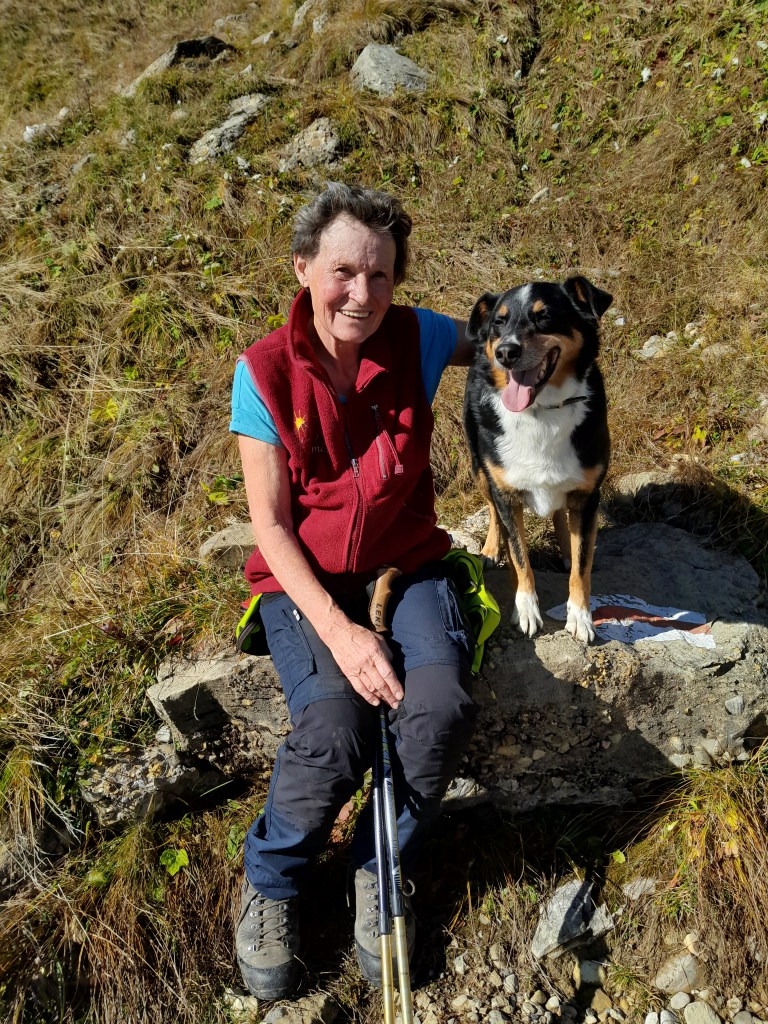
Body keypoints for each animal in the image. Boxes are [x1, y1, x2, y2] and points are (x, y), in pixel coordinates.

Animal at [462, 276, 612, 643]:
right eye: (498, 323)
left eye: (544, 316)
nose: (505, 352)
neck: (541, 411)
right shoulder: (505, 492)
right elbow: (519, 557)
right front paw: (526, 609)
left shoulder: (588, 496)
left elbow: (583, 564)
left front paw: (580, 616)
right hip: (478, 468)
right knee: (492, 511)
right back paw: (490, 548)